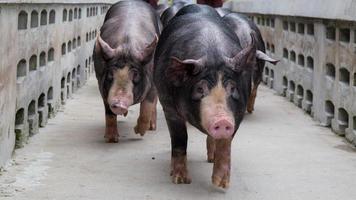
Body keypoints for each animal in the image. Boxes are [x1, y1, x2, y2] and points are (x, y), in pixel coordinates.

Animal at [93, 0, 160, 143]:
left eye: (135, 74)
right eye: (110, 74)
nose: (118, 104)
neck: (126, 46)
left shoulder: (152, 82)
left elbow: (147, 107)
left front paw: (138, 132)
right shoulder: (102, 86)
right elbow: (109, 112)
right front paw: (111, 139)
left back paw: (152, 127)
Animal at [154, 5, 258, 189]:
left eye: (232, 88)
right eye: (200, 88)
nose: (222, 120)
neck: (212, 54)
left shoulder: (238, 115)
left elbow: (225, 143)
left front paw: (221, 184)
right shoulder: (168, 105)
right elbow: (180, 138)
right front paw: (180, 180)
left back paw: (210, 159)